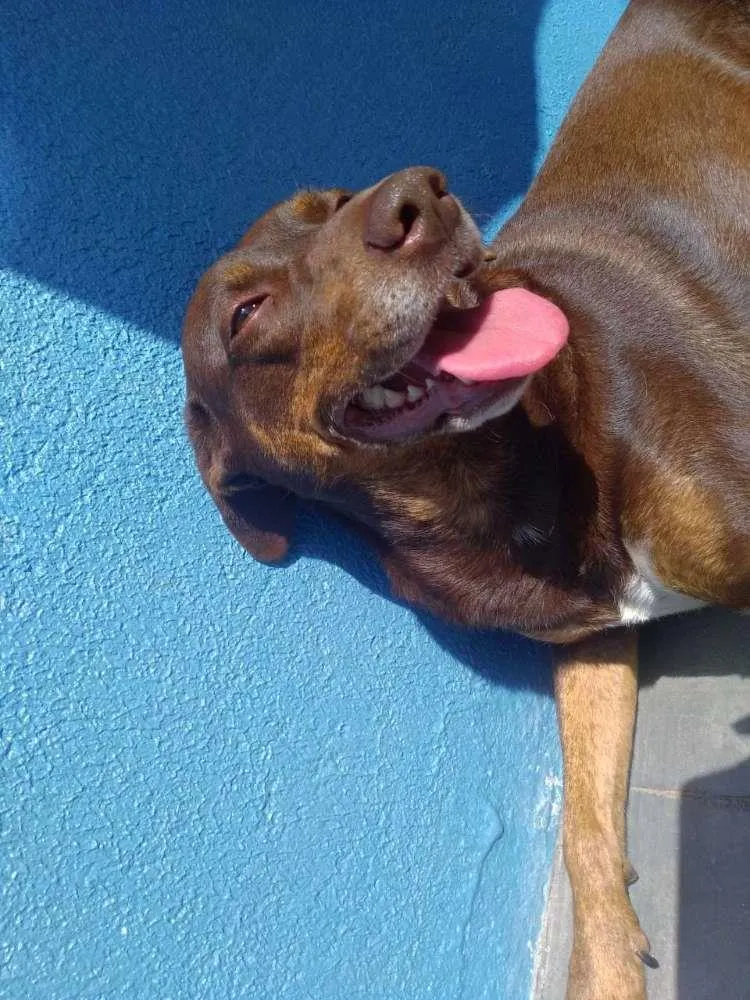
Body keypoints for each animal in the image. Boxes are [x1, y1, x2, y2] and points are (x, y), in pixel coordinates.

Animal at [182, 1, 750, 997]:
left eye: (332, 201)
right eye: (244, 314)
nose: (421, 194)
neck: (499, 488)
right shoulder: (593, 643)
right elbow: (583, 831)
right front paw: (605, 967)